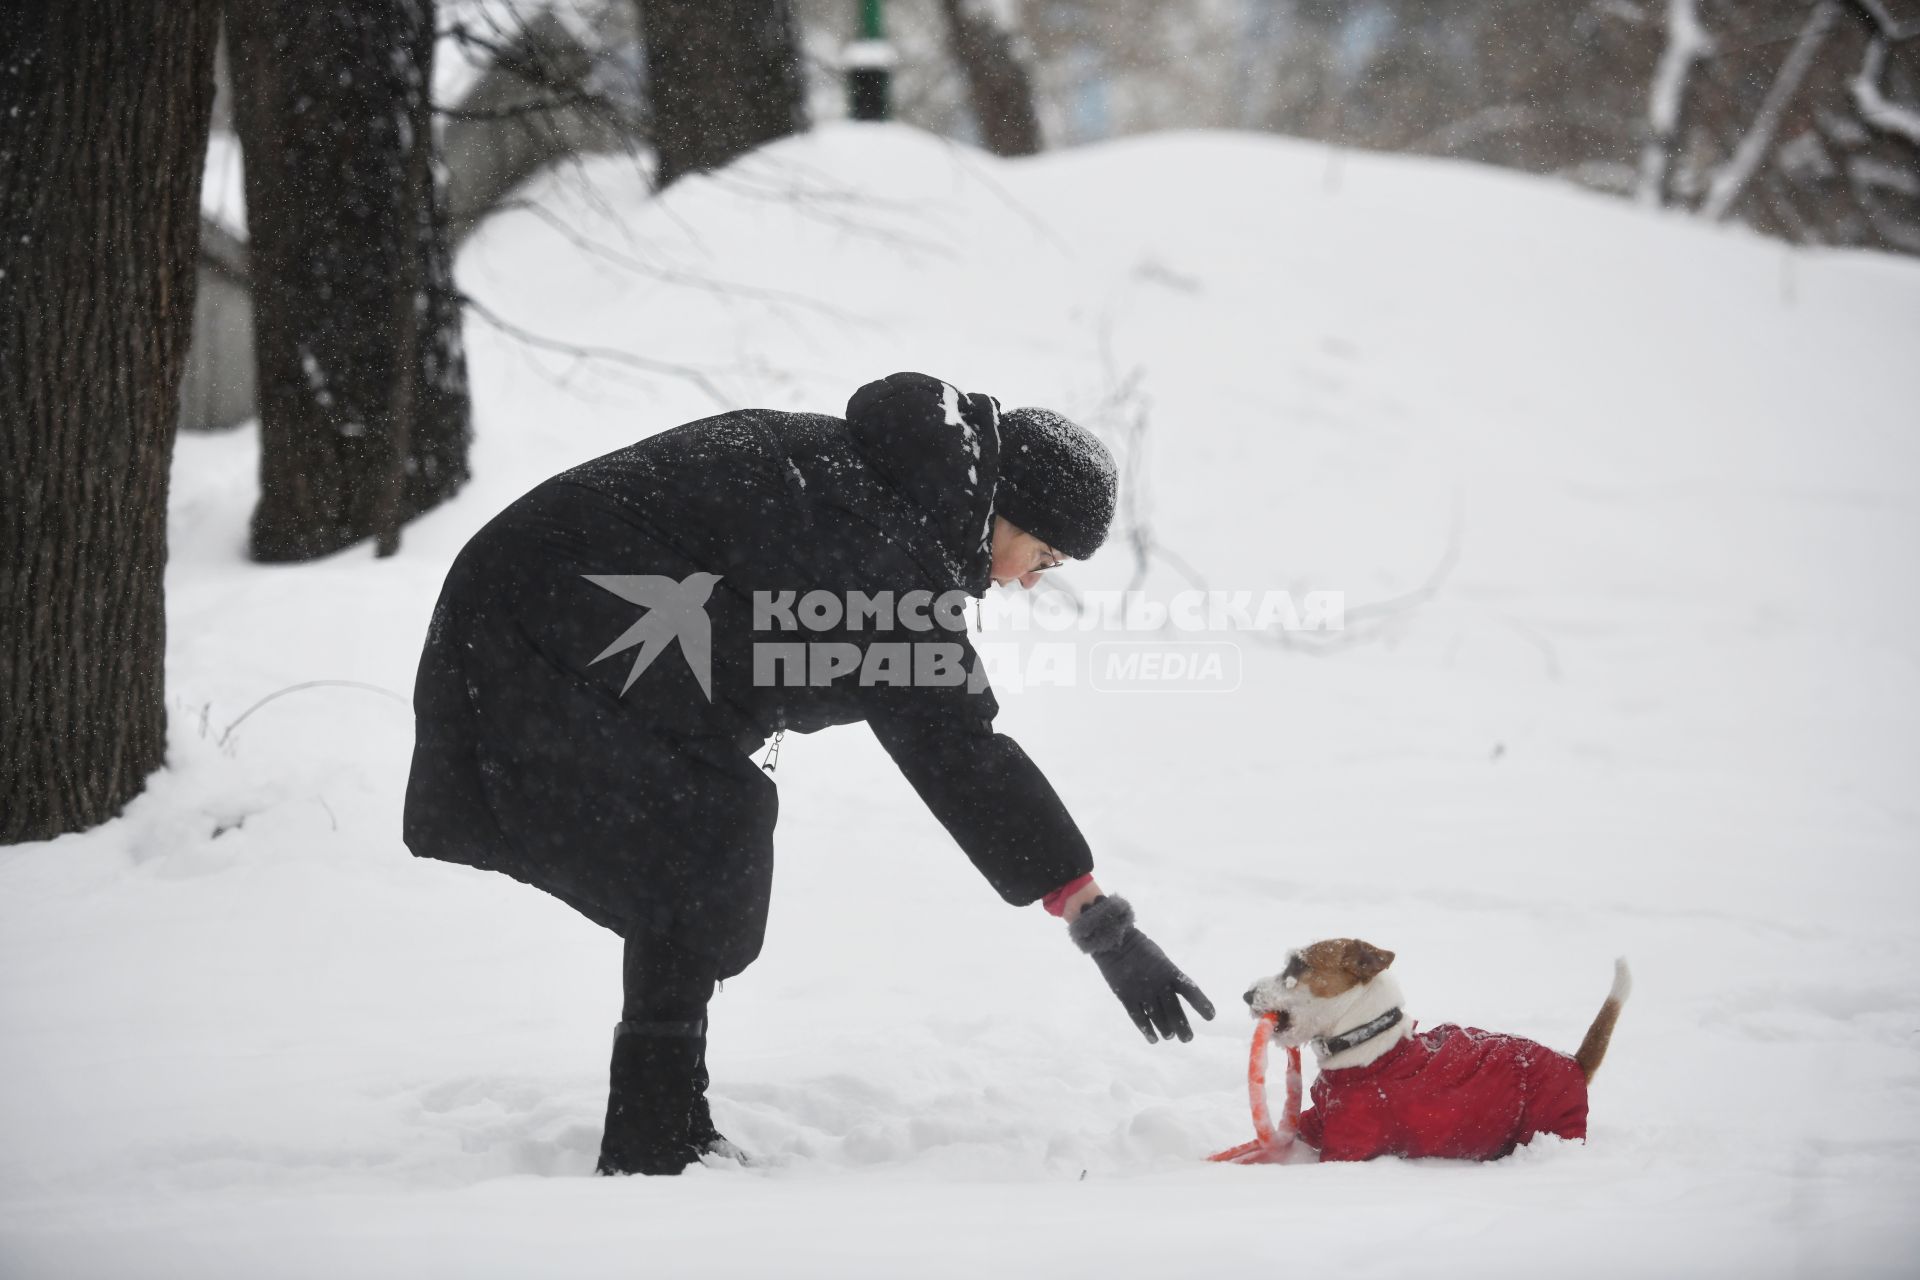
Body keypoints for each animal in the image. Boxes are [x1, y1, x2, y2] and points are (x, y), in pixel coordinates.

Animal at [1236, 936, 1628, 1166]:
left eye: (1298, 966)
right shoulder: (1317, 1121)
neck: (1366, 1041)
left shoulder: (1348, 1148)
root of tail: (1573, 1062)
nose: (1246, 994)